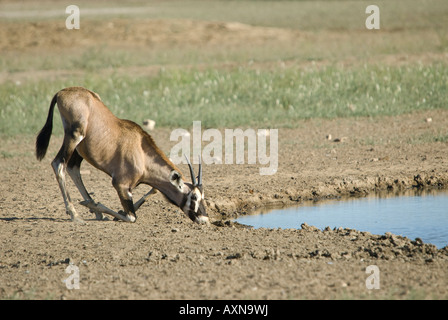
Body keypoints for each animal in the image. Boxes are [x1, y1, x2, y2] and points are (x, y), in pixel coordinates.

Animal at [36, 86, 209, 224]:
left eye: (203, 196)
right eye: (193, 197)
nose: (204, 219)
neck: (142, 154)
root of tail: (62, 92)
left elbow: (153, 190)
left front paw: (103, 209)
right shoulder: (121, 185)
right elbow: (131, 217)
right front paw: (99, 207)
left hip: (80, 147)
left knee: (73, 168)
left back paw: (94, 210)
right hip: (74, 136)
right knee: (58, 164)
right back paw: (75, 214)